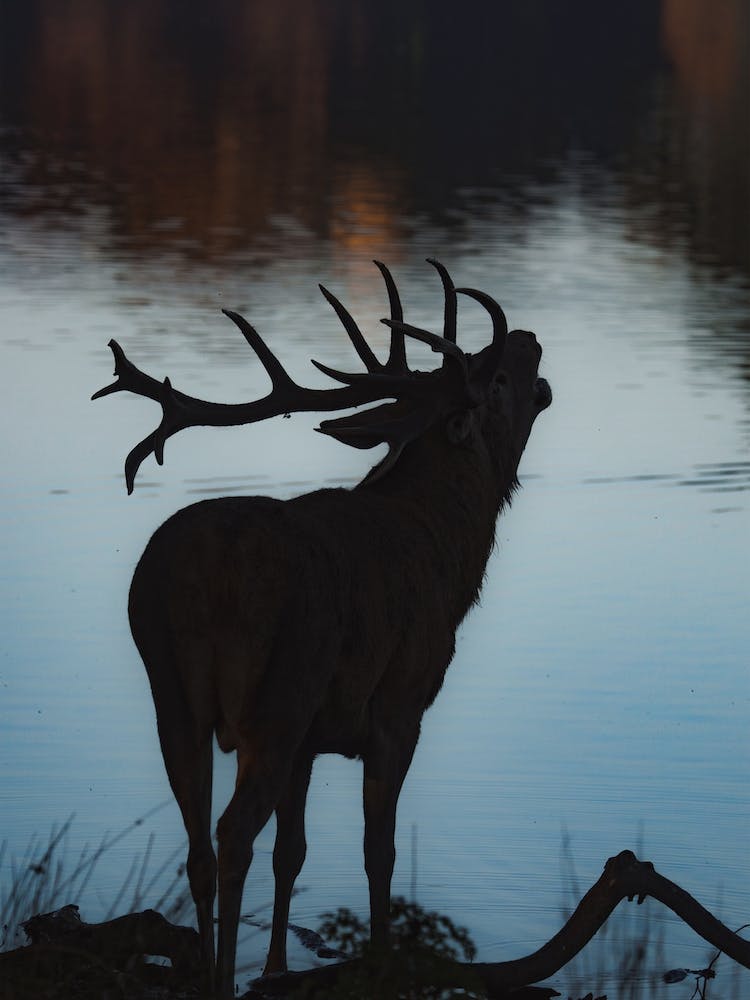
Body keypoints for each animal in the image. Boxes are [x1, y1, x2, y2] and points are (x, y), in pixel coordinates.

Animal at [93, 259, 551, 998]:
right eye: (497, 380)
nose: (530, 338)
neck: (449, 553)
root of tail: (200, 576)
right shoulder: (400, 703)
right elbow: (378, 850)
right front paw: (382, 960)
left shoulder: (312, 739)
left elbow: (294, 852)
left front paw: (278, 968)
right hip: (279, 691)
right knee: (232, 834)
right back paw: (220, 978)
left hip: (172, 693)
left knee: (199, 843)